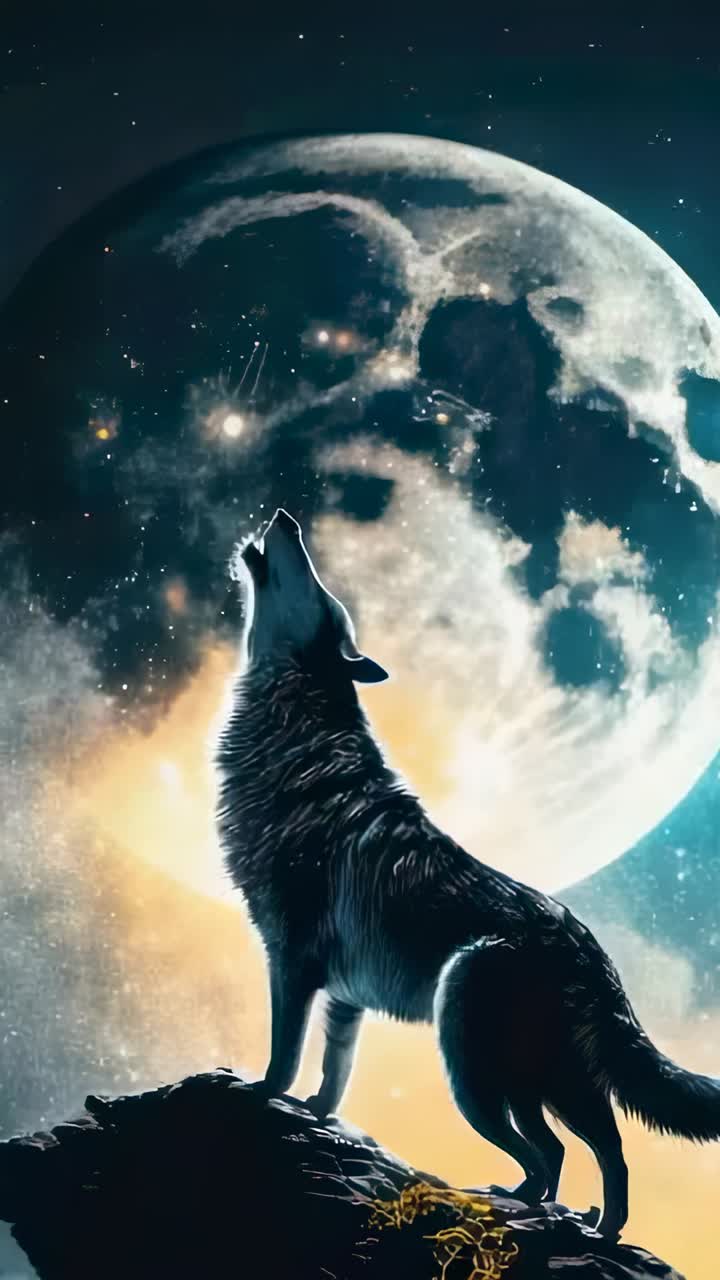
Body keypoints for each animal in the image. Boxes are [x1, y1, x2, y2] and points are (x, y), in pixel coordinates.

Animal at [215, 507, 720, 1240]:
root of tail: (589, 947)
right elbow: (334, 1075)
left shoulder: (292, 958)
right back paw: (566, 1213)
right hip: (540, 1085)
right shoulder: (344, 998)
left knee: (576, 1149)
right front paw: (316, 1114)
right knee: (578, 1150)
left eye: (315, 583)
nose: (286, 517)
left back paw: (566, 1217)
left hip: (479, 1070)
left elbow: (282, 1056)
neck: (295, 727)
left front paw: (260, 1094)